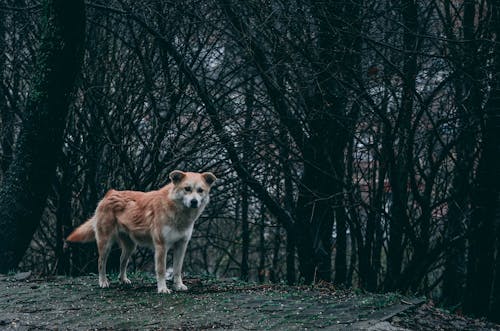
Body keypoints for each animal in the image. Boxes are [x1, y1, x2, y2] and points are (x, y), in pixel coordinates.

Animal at [65, 171, 216, 294]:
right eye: (187, 189)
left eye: (200, 190)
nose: (194, 202)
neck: (178, 213)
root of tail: (110, 193)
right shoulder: (161, 247)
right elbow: (161, 270)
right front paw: (162, 289)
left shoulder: (181, 245)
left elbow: (177, 270)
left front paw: (178, 286)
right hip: (106, 244)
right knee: (101, 262)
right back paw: (103, 282)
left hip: (130, 247)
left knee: (122, 261)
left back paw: (123, 280)